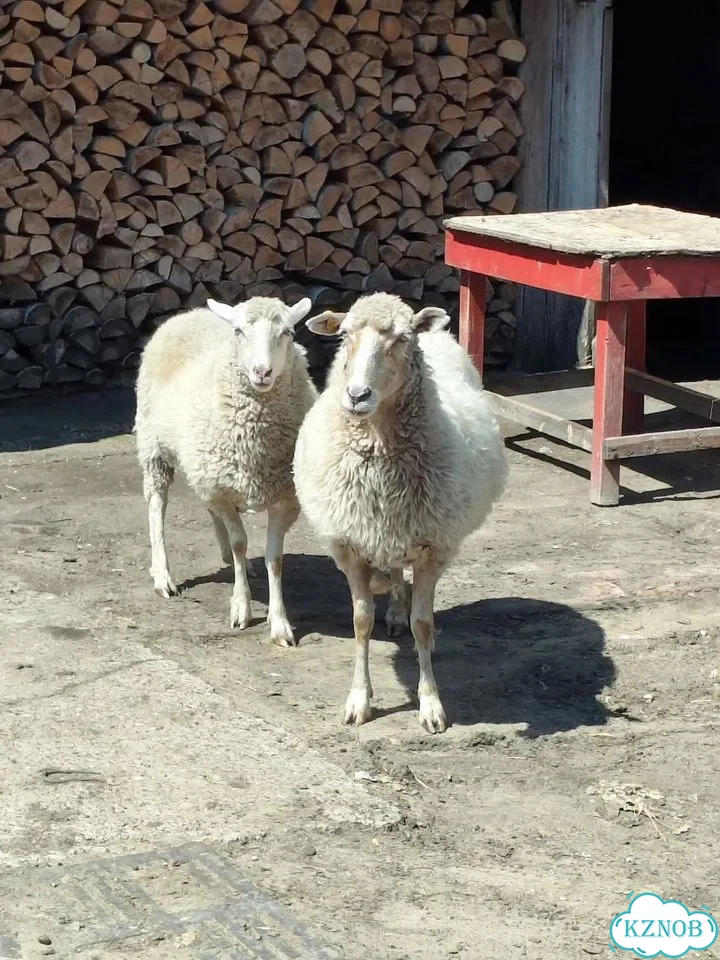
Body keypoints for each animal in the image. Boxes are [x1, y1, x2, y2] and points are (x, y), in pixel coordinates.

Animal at [135, 294, 317, 646]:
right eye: (239, 331)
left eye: (288, 332)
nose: (262, 372)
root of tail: (190, 314)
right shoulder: (221, 489)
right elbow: (239, 542)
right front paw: (241, 607)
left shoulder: (285, 497)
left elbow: (274, 557)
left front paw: (279, 623)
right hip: (154, 448)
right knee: (157, 504)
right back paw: (162, 575)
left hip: (204, 469)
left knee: (208, 509)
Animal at [293, 292, 507, 732]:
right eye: (344, 334)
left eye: (403, 338)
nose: (357, 396)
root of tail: (440, 333)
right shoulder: (351, 546)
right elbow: (361, 621)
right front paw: (359, 699)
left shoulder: (433, 547)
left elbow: (421, 624)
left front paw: (430, 703)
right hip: (383, 529)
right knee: (392, 570)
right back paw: (392, 609)